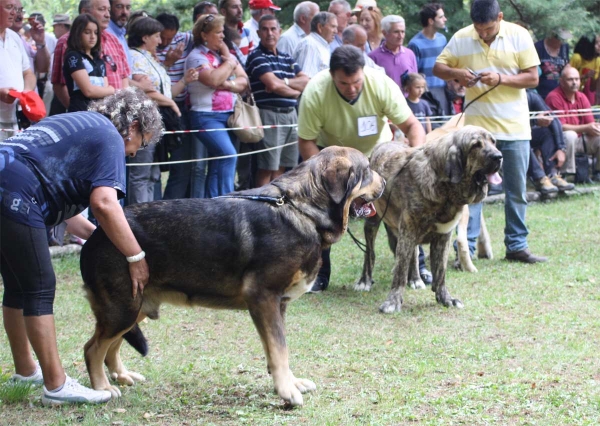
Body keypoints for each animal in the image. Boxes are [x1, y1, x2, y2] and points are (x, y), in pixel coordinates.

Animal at [79, 146, 384, 406]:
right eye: (368, 170)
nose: (383, 184)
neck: (300, 207)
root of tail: (96, 235)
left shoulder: (278, 305)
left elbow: (277, 350)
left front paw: (290, 383)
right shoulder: (263, 298)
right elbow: (280, 350)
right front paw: (287, 392)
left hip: (134, 309)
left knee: (111, 347)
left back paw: (121, 376)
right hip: (123, 309)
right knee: (93, 348)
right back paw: (102, 387)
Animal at [356, 125, 502, 312]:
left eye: (493, 142)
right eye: (475, 145)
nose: (499, 156)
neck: (444, 187)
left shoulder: (443, 236)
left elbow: (440, 273)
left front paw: (445, 298)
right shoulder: (408, 232)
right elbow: (400, 271)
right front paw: (393, 302)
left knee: (414, 253)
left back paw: (415, 279)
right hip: (373, 222)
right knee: (370, 252)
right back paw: (365, 281)